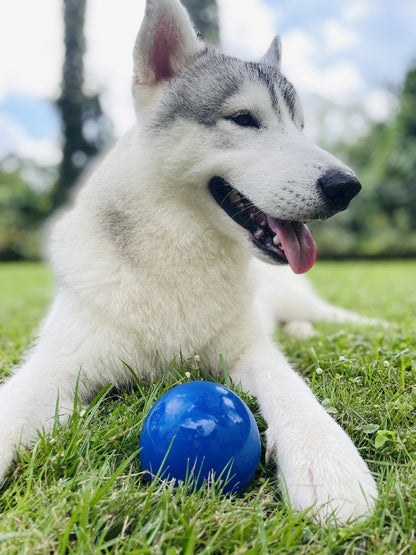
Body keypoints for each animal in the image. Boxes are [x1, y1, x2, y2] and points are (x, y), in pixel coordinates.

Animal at [0, 0, 376, 524]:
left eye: (300, 128)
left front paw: (325, 456)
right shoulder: (57, 365)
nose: (347, 187)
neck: (178, 253)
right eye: (244, 119)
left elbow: (290, 387)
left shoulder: (250, 349)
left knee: (331, 317)